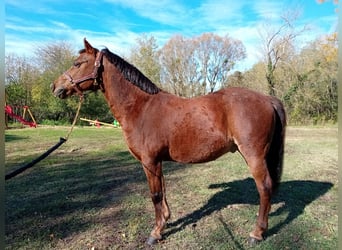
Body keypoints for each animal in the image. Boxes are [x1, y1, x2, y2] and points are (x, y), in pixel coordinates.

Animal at [50, 39, 286, 246]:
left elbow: (155, 195)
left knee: (264, 187)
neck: (141, 107)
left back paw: (257, 233)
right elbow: (162, 192)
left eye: (78, 63)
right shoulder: (157, 162)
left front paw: (155, 234)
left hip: (254, 156)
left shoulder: (149, 161)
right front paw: (165, 221)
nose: (55, 87)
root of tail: (268, 99)